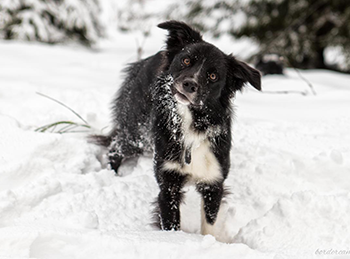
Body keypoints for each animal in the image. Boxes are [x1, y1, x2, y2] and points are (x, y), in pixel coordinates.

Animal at [91, 20, 262, 242]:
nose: (189, 84)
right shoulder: (168, 184)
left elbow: (210, 223)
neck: (192, 125)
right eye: (186, 60)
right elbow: (171, 224)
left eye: (213, 75)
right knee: (115, 148)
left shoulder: (213, 183)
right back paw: (112, 174)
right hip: (136, 133)